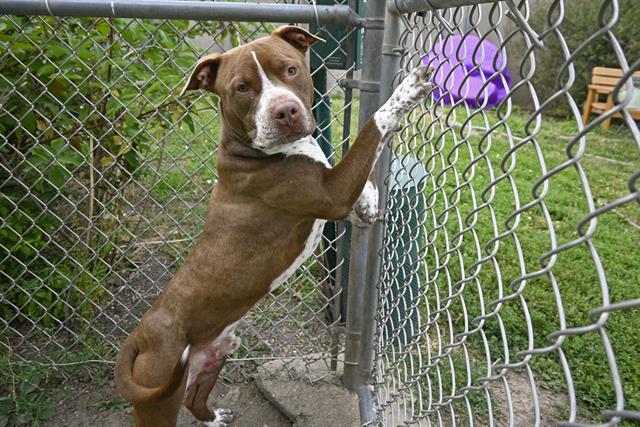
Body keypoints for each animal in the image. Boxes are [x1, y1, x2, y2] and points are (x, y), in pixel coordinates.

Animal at [115, 25, 436, 426]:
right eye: (242, 88)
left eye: (290, 70)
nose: (285, 111)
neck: (252, 148)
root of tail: (139, 338)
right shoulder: (332, 192)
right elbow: (370, 128)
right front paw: (406, 92)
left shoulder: (334, 195)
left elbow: (362, 184)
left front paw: (370, 201)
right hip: (158, 392)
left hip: (213, 356)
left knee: (195, 398)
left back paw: (214, 417)